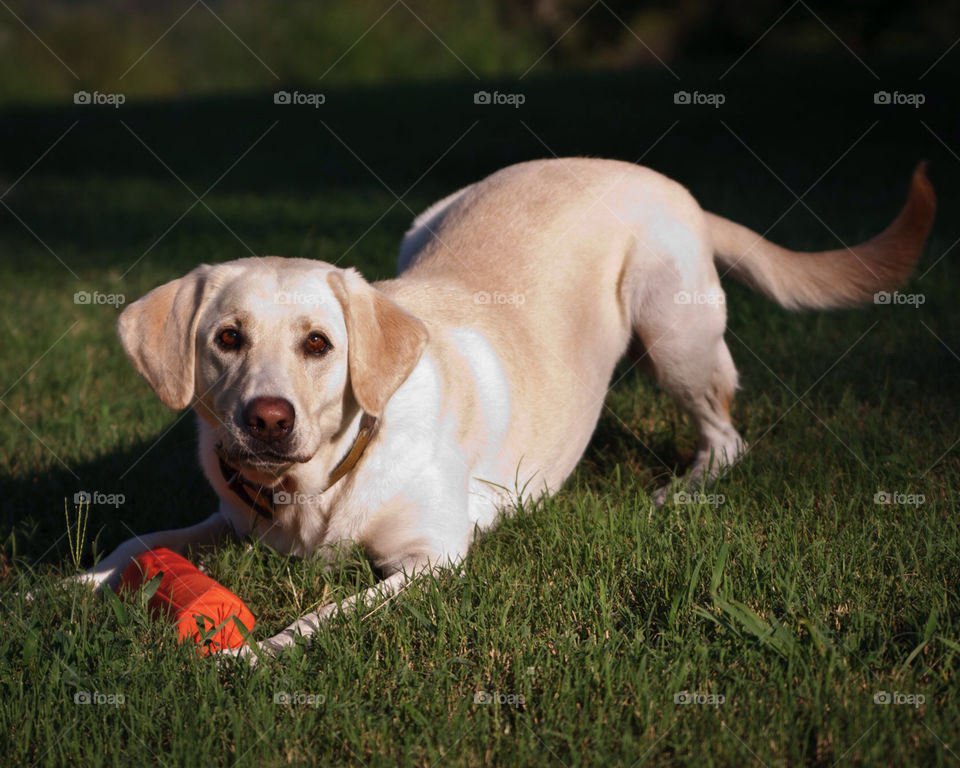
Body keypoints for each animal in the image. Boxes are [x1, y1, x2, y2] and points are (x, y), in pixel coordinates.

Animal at [79, 159, 932, 656]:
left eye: (318, 344)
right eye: (227, 338)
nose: (266, 418)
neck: (312, 493)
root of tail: (660, 177)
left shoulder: (432, 557)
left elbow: (326, 615)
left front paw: (260, 652)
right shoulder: (228, 519)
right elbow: (134, 544)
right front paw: (66, 586)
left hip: (675, 330)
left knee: (725, 436)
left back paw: (684, 490)